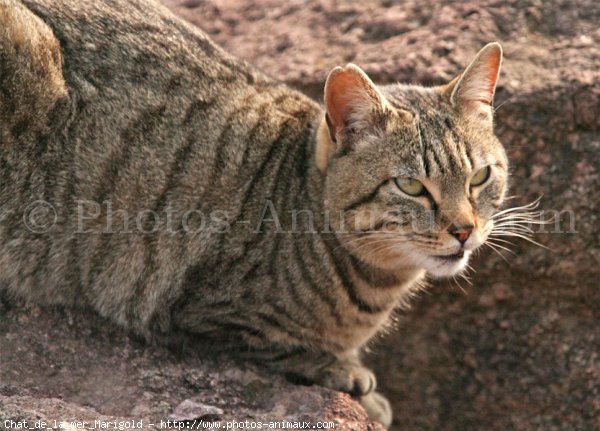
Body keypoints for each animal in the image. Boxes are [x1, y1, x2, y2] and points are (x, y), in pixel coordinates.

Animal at [0, 0, 508, 426]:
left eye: (480, 177)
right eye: (410, 186)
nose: (464, 229)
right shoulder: (186, 303)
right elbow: (271, 345)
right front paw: (346, 373)